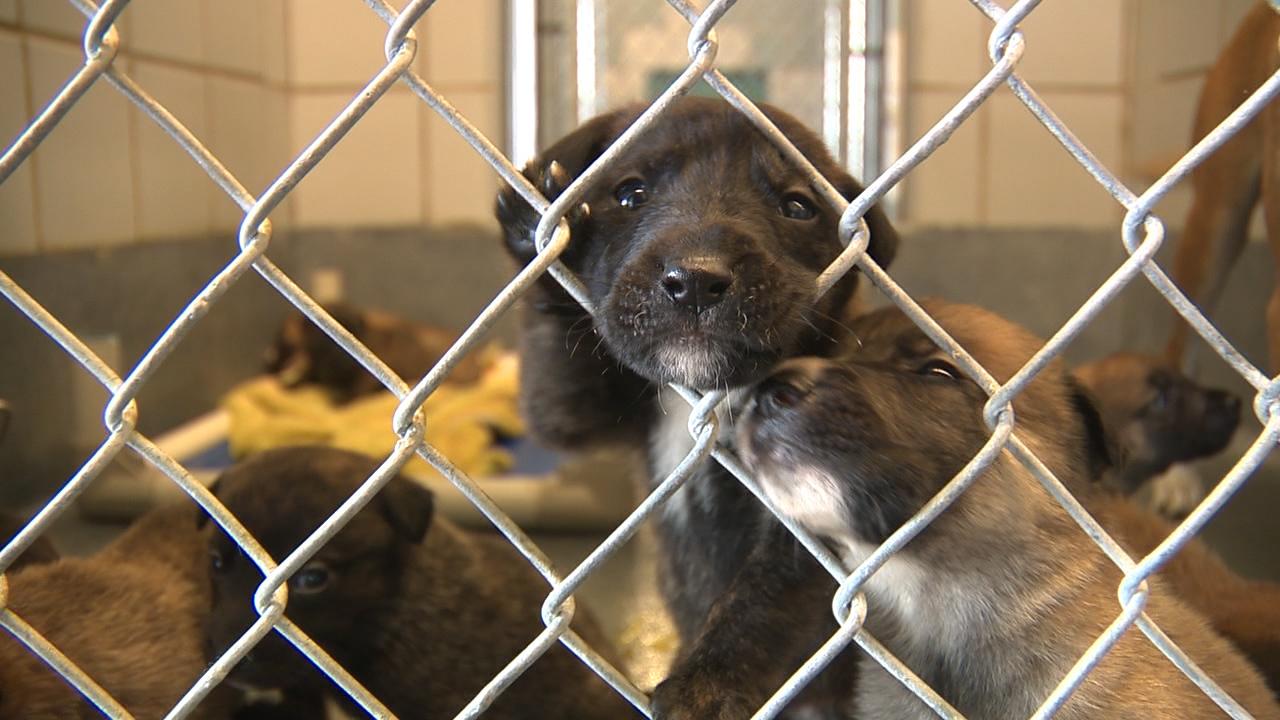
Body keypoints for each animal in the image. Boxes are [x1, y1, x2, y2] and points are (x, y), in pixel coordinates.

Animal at [496, 96, 898, 717]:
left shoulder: (815, 526)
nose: (695, 280)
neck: (713, 396)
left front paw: (706, 687)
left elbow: (763, 604)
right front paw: (535, 225)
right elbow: (556, 391)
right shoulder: (583, 405)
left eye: (797, 206)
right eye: (630, 194)